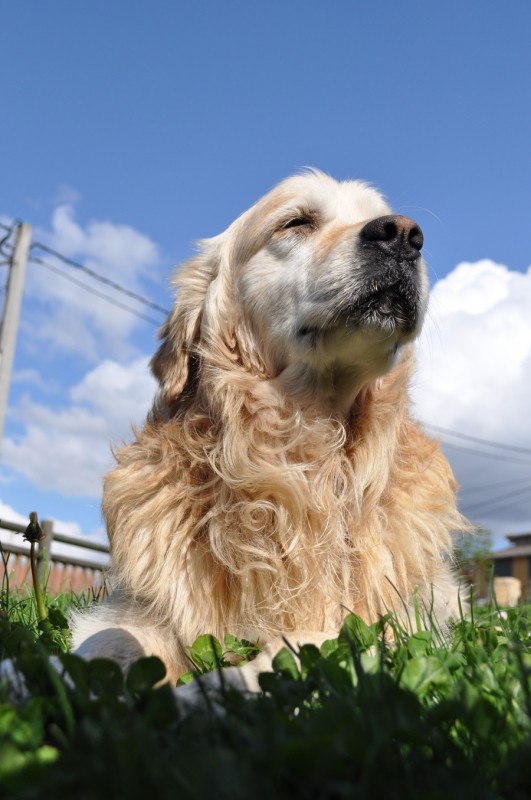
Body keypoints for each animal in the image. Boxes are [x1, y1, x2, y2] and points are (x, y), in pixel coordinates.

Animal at [72, 172, 468, 684]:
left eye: (389, 221)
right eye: (296, 222)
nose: (403, 234)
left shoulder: (391, 622)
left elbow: (308, 640)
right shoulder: (138, 609)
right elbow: (108, 641)